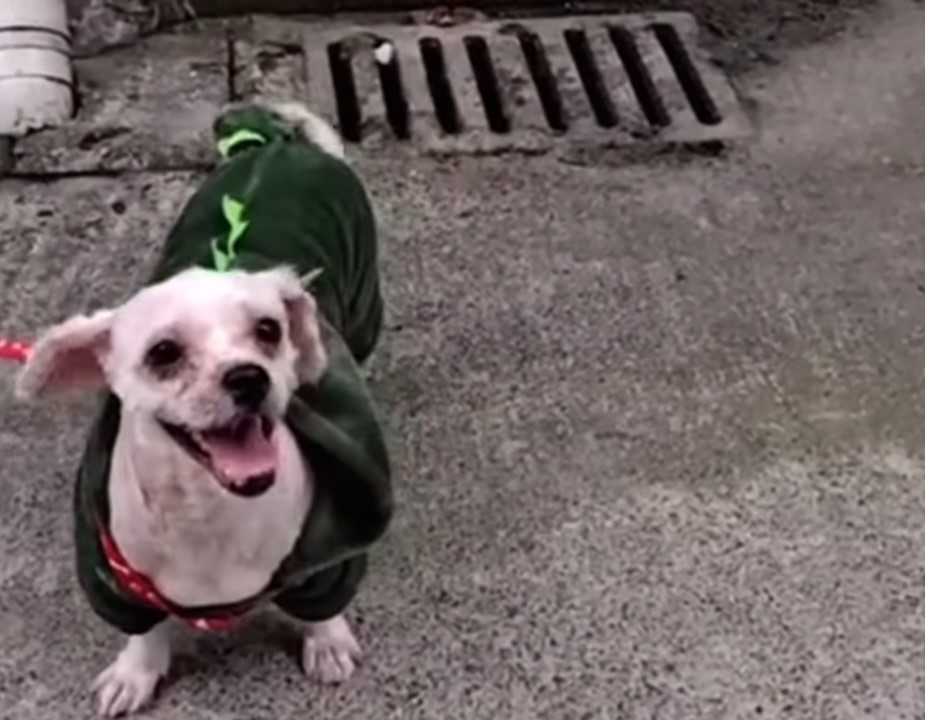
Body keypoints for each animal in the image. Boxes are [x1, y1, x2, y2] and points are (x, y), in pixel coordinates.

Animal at [15, 104, 390, 716]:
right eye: (163, 353)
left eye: (268, 330)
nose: (249, 377)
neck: (205, 515)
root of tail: (275, 145)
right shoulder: (116, 580)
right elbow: (144, 631)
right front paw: (136, 672)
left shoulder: (329, 566)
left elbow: (324, 610)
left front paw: (327, 642)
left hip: (363, 305)